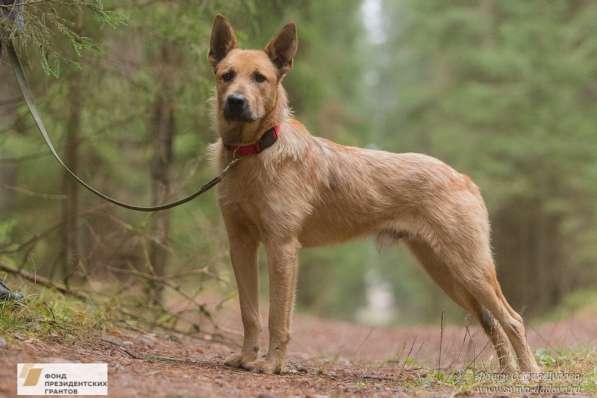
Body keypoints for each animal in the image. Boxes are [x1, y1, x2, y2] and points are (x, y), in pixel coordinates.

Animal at [207, 13, 536, 374]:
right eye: (227, 75)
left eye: (260, 78)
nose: (235, 102)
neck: (254, 151)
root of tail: (463, 178)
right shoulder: (241, 243)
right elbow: (249, 312)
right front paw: (246, 358)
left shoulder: (282, 246)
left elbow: (277, 316)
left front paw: (271, 364)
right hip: (446, 272)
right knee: (492, 323)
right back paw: (508, 372)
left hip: (471, 268)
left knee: (513, 319)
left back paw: (528, 373)